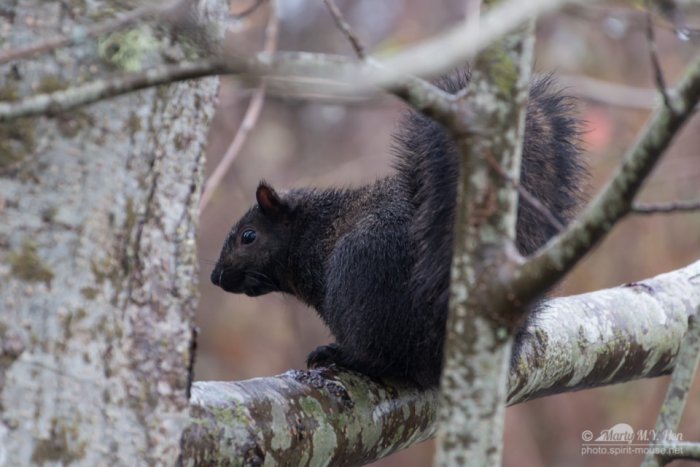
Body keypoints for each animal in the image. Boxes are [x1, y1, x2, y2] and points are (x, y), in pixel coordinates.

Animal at [210, 72, 586, 388]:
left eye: (248, 236)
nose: (216, 277)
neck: (315, 228)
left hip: (359, 279)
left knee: (384, 357)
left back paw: (341, 355)